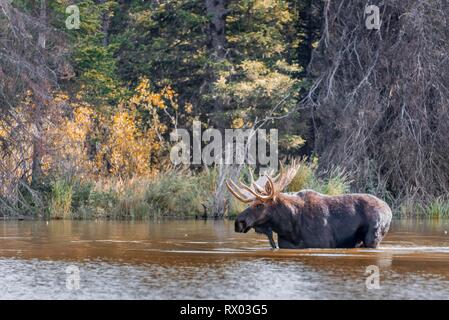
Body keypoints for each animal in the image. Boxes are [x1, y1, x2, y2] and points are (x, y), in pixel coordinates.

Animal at [226, 161, 390, 249]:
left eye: (260, 204)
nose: (238, 222)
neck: (288, 227)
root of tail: (389, 210)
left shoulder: (323, 243)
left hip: (373, 237)